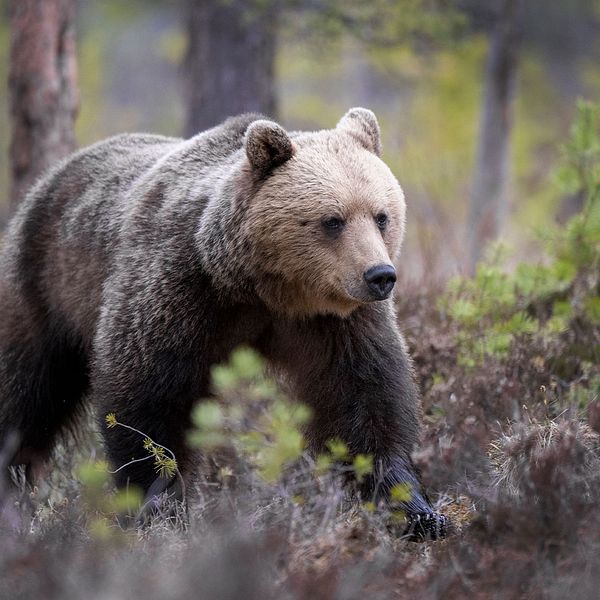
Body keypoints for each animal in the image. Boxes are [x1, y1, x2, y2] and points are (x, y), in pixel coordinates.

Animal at [0, 108, 448, 540]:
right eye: (333, 220)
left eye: (381, 216)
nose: (380, 275)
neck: (260, 287)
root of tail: (50, 178)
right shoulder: (177, 290)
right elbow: (148, 397)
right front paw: (158, 507)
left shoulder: (336, 321)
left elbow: (363, 396)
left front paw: (416, 512)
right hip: (44, 285)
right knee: (25, 392)